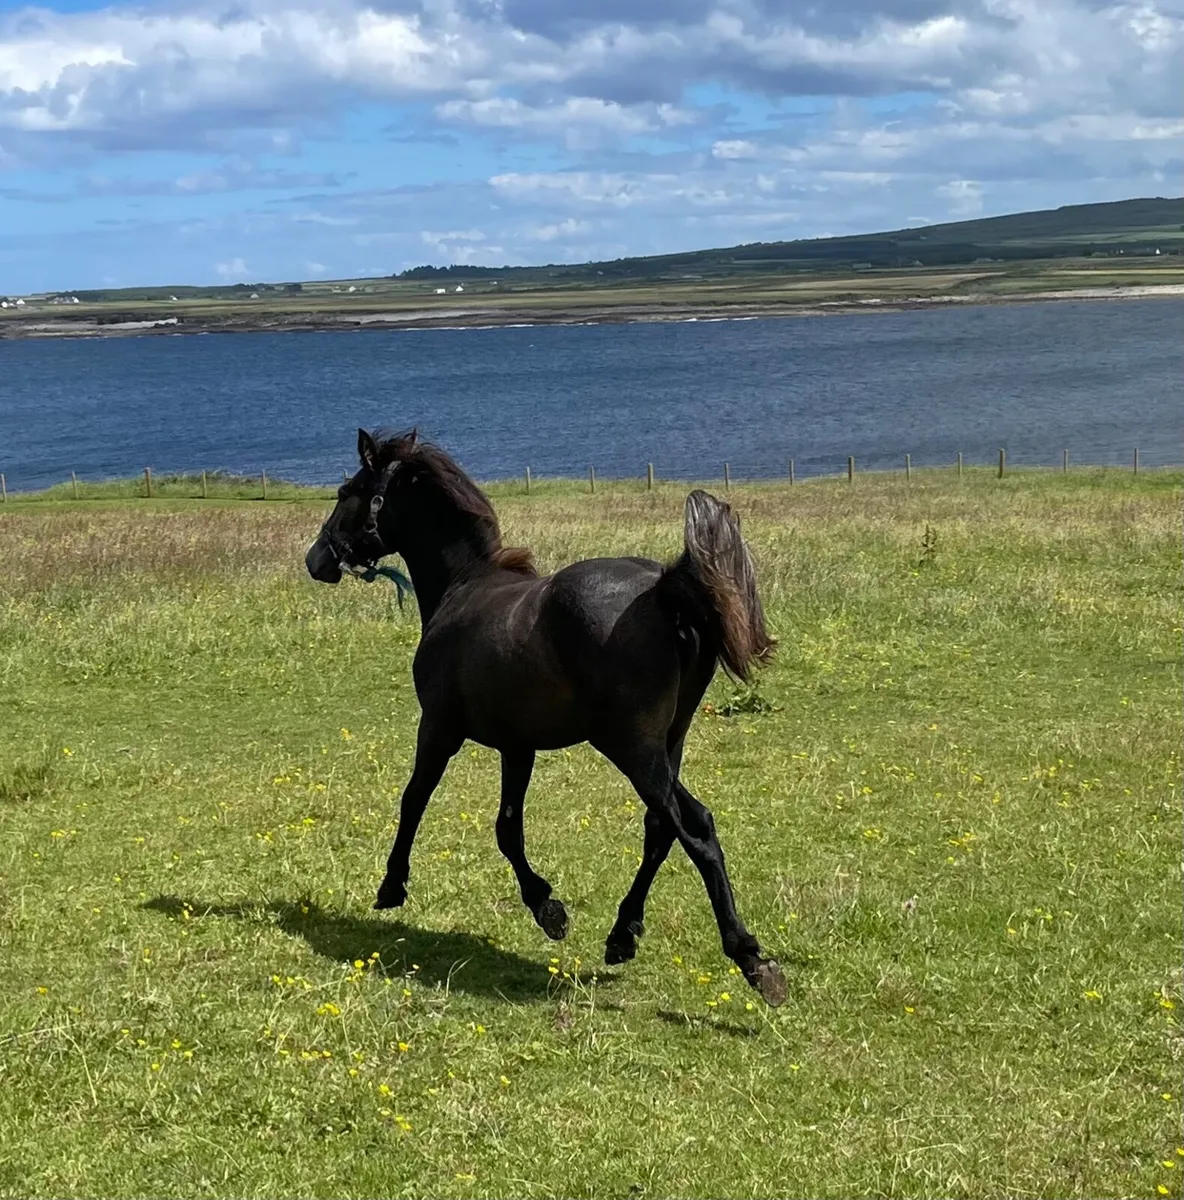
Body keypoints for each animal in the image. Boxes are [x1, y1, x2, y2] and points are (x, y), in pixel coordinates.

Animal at [305, 429, 787, 1006]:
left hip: (632, 749)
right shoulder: (518, 746)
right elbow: (507, 828)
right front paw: (548, 909)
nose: (316, 558)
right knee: (660, 828)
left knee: (693, 827)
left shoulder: (440, 730)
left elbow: (414, 800)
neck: (462, 587)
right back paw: (622, 936)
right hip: (670, 741)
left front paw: (392, 886)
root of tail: (666, 588)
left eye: (346, 491)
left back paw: (751, 958)